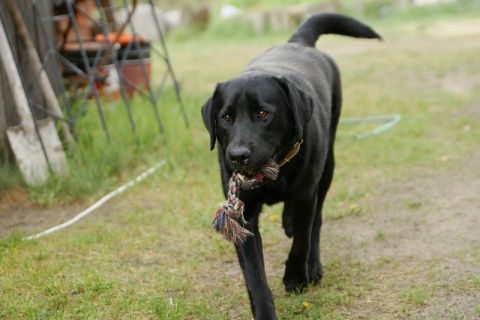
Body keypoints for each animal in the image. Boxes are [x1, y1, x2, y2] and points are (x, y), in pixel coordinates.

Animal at [201, 13, 380, 320]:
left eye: (263, 113)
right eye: (225, 117)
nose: (237, 155)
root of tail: (298, 41)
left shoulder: (307, 193)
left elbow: (303, 239)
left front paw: (296, 276)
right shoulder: (243, 214)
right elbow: (254, 277)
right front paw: (265, 312)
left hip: (327, 166)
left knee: (315, 223)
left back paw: (312, 264)